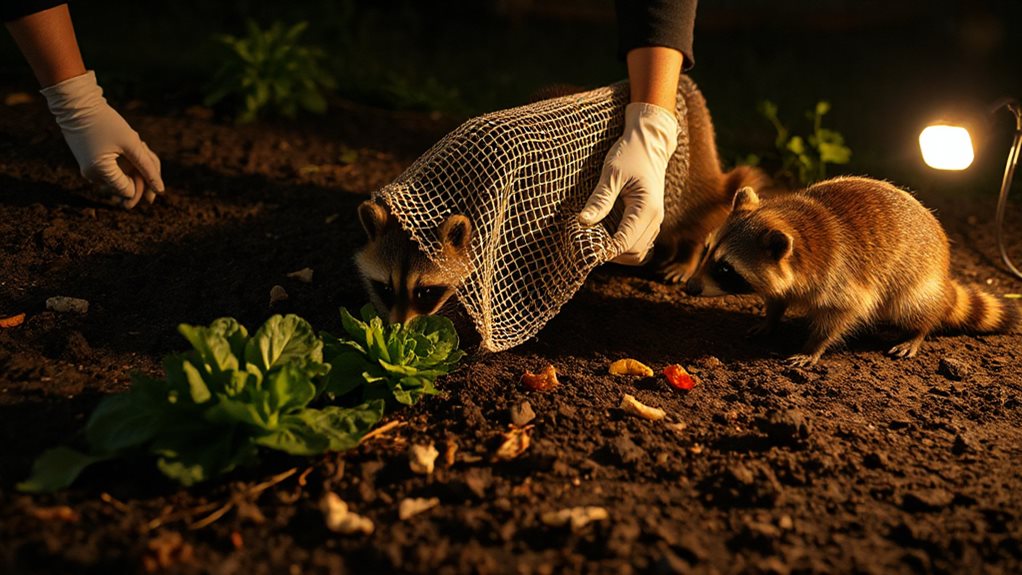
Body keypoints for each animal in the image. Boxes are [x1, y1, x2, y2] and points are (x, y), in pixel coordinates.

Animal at [684, 176, 1019, 365]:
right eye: (707, 251)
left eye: (725, 268)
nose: (689, 287)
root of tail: (943, 272)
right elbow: (778, 297)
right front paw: (771, 318)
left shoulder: (842, 277)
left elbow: (844, 312)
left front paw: (814, 346)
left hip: (915, 279)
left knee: (911, 305)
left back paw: (918, 331)